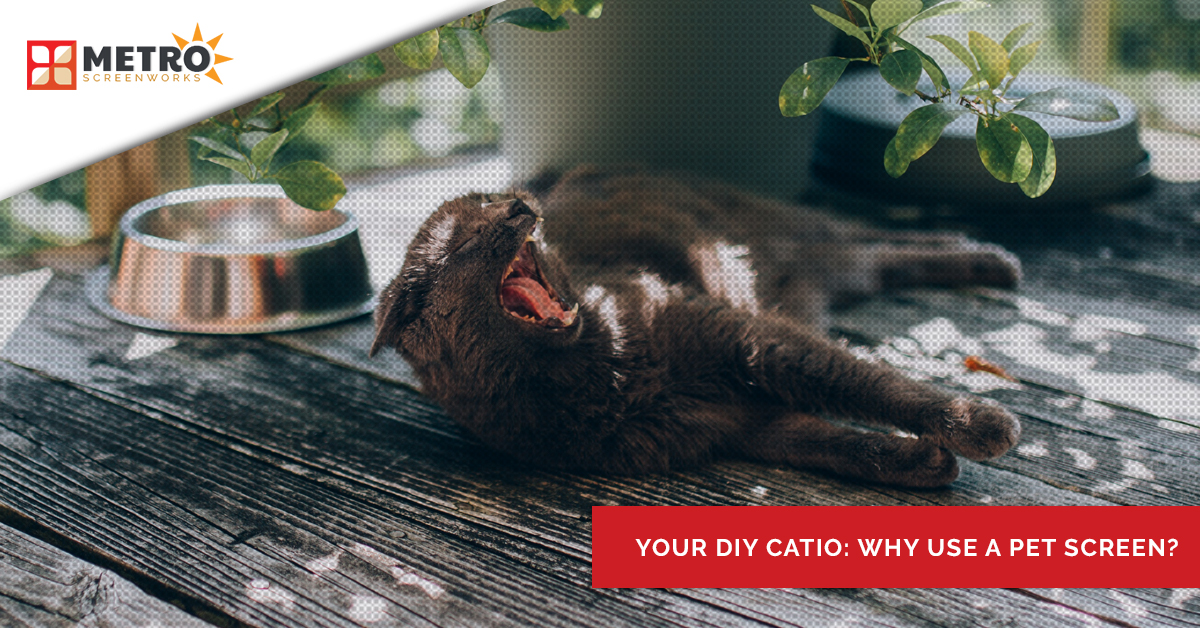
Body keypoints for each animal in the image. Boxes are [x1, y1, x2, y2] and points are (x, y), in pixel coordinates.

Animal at [367, 165, 1022, 487]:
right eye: (466, 239)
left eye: (497, 200)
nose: (520, 206)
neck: (601, 371)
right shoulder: (734, 426)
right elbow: (829, 444)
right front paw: (921, 463)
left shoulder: (751, 339)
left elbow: (865, 382)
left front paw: (978, 425)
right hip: (829, 264)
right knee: (880, 256)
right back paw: (984, 256)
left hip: (795, 234)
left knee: (873, 237)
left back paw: (988, 255)